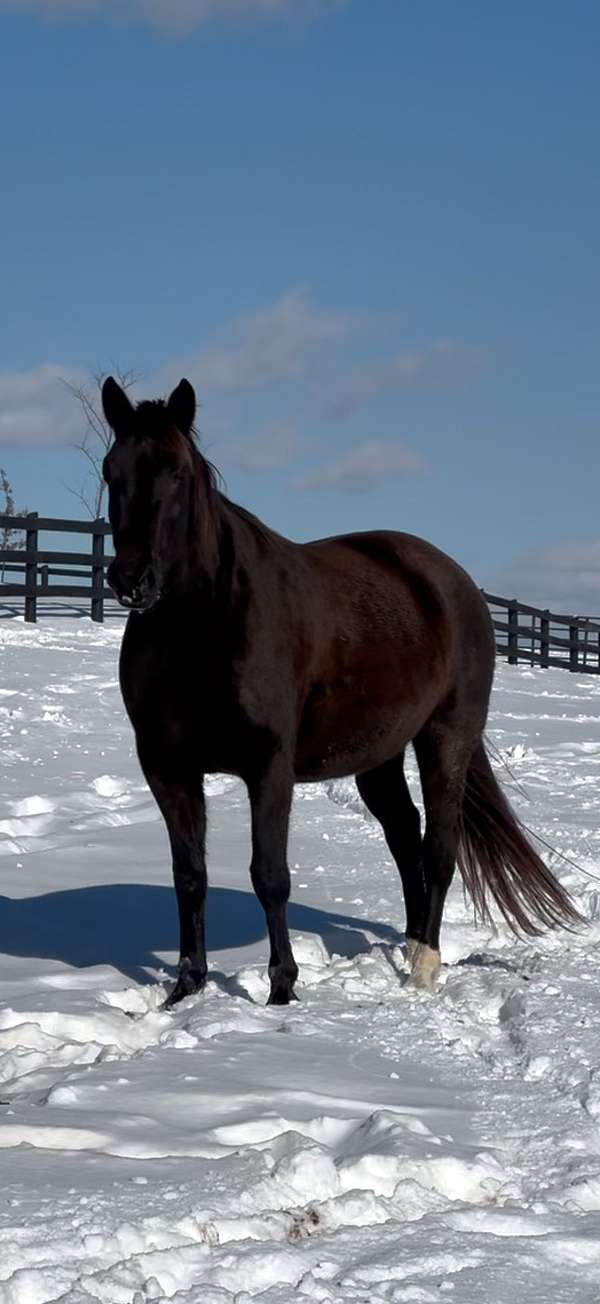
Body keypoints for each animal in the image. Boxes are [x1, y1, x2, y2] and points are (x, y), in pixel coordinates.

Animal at [101, 378, 579, 1006]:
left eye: (178, 474)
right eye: (111, 471)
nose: (131, 579)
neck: (205, 626)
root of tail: (456, 582)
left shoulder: (269, 768)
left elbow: (269, 876)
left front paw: (282, 990)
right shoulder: (167, 768)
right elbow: (190, 877)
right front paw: (186, 988)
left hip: (445, 738)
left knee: (438, 847)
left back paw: (424, 967)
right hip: (379, 756)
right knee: (404, 836)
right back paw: (408, 946)